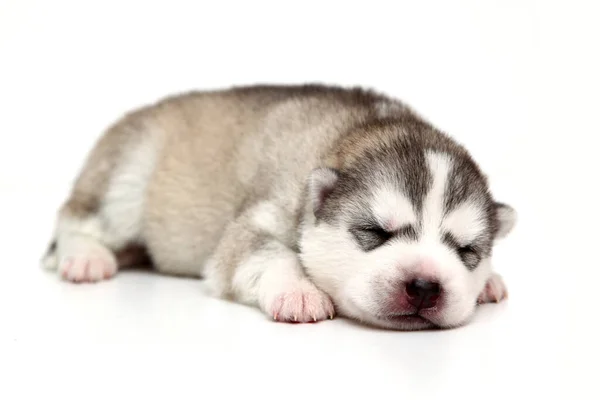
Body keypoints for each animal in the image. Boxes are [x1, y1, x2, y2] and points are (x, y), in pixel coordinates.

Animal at [41, 83, 516, 330]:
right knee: (75, 218)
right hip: (126, 177)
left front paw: (489, 282)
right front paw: (299, 292)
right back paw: (85, 257)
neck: (358, 130)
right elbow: (264, 252)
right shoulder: (261, 216)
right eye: (375, 233)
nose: (424, 286)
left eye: (466, 251)